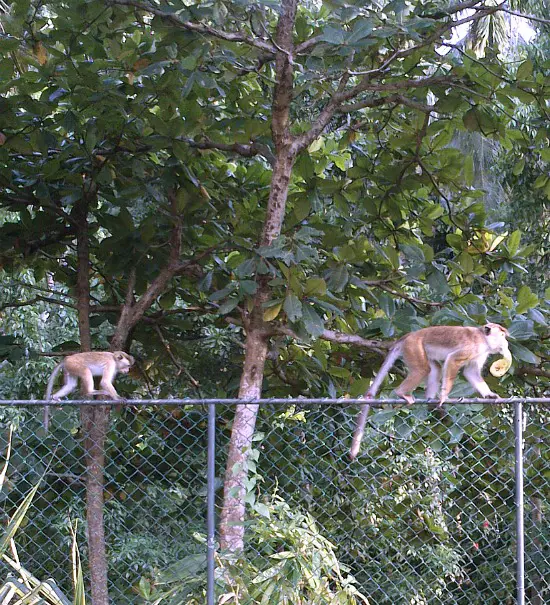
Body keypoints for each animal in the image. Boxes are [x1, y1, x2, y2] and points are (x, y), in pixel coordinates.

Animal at [352, 324, 512, 460]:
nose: (506, 344)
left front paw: (489, 395)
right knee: (423, 369)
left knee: (435, 368)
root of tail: (411, 334)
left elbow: (471, 372)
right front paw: (444, 395)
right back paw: (402, 393)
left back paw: (430, 399)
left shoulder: (480, 353)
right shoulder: (473, 347)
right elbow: (453, 360)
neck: (484, 339)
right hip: (414, 347)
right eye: (502, 335)